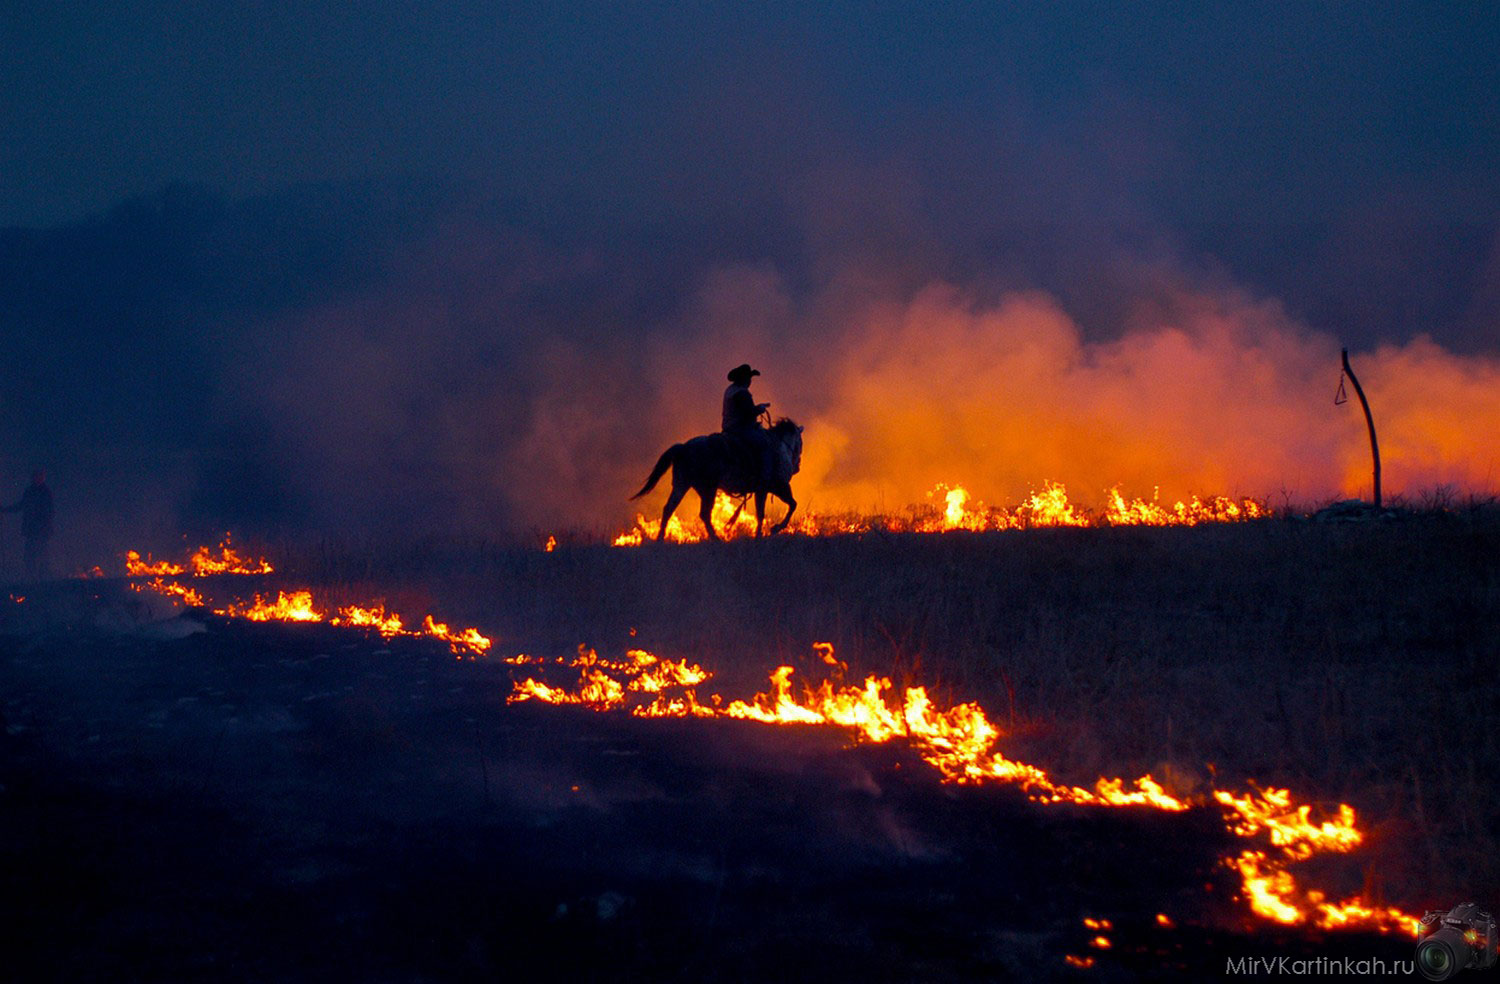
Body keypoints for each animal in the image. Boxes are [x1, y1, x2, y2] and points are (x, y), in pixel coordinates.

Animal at [630, 414, 804, 537]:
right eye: (800, 443)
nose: (797, 467)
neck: (778, 446)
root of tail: (683, 448)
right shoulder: (773, 487)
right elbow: (781, 508)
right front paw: (771, 530)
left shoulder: (770, 489)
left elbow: (786, 506)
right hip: (708, 489)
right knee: (704, 514)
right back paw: (716, 538)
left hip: (682, 486)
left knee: (669, 509)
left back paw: (661, 538)